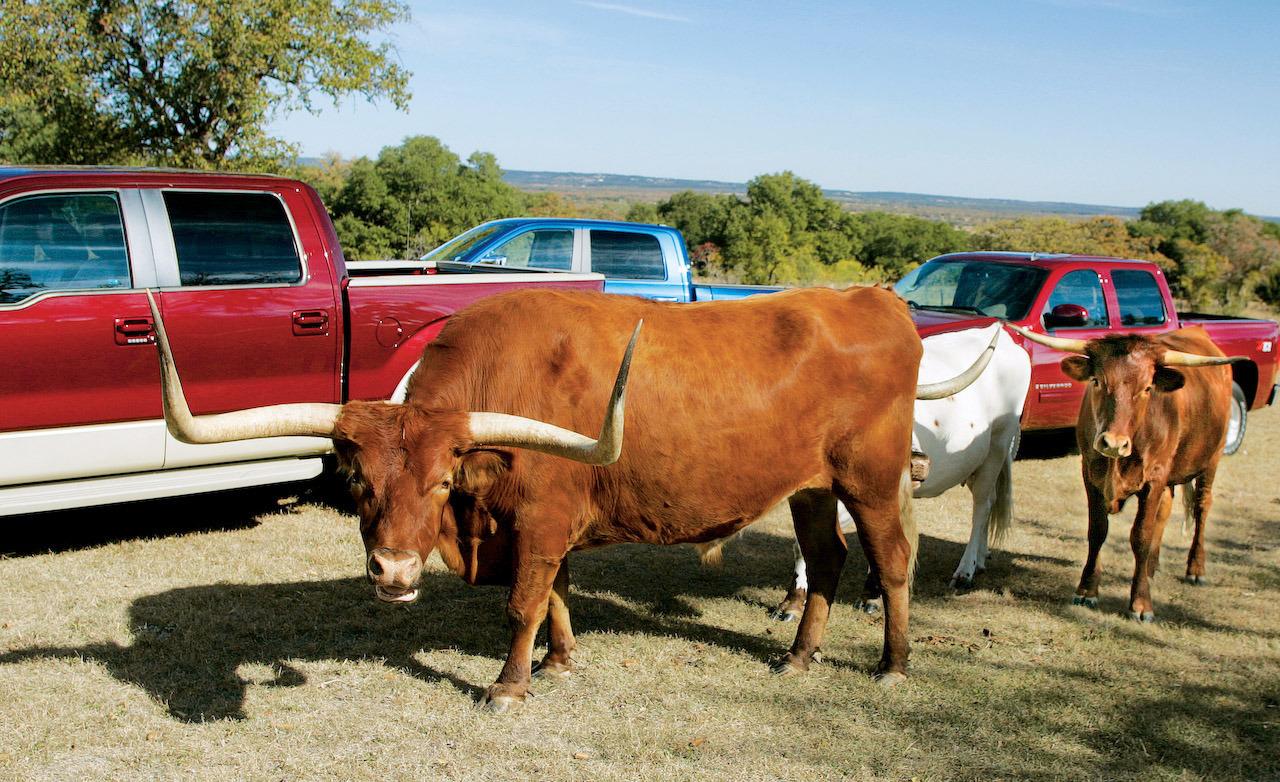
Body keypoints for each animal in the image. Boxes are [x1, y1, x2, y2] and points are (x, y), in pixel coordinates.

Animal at [147, 286, 988, 711]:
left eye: (441, 480)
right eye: (359, 481)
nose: (392, 572)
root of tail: (871, 296)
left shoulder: (542, 518)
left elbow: (523, 601)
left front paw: (510, 685)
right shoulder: (537, 528)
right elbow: (552, 595)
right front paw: (559, 662)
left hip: (870, 477)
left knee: (893, 559)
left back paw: (893, 665)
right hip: (810, 486)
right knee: (829, 558)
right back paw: (800, 657)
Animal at [768, 321, 1029, 622]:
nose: (917, 459)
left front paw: (872, 596)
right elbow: (802, 543)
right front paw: (792, 602)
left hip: (997, 447)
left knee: (982, 507)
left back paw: (965, 571)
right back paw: (981, 559)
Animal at [1008, 323, 1239, 624]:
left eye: (1147, 388)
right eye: (1097, 381)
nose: (1114, 443)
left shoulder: (1154, 478)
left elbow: (1140, 536)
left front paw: (1141, 604)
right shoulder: (1090, 474)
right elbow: (1097, 530)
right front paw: (1087, 590)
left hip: (1212, 458)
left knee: (1202, 507)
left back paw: (1195, 569)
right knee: (1165, 510)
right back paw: (1151, 567)